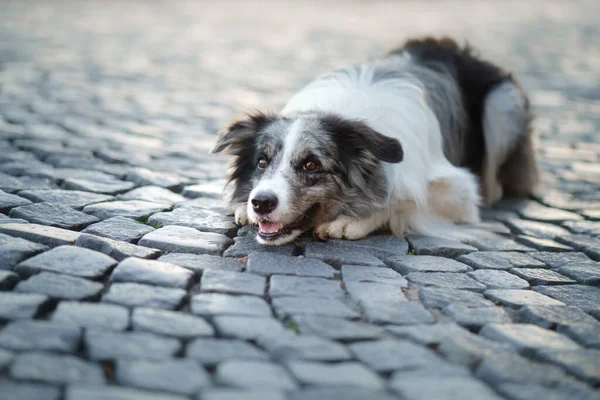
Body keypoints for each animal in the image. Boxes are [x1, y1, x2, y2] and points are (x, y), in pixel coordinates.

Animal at [210, 37, 540, 245]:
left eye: (311, 165)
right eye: (262, 162)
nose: (261, 203)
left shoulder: (460, 194)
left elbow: (400, 202)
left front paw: (354, 221)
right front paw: (243, 207)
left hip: (502, 105)